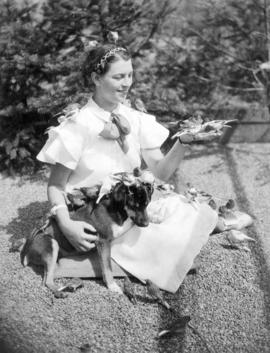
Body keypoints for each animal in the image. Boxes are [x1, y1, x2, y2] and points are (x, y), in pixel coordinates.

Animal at [20, 168, 154, 294]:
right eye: (134, 206)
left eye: (147, 204)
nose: (146, 224)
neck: (117, 208)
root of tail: (27, 250)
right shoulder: (103, 241)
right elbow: (107, 267)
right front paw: (112, 286)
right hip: (52, 244)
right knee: (47, 281)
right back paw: (63, 290)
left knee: (46, 278)